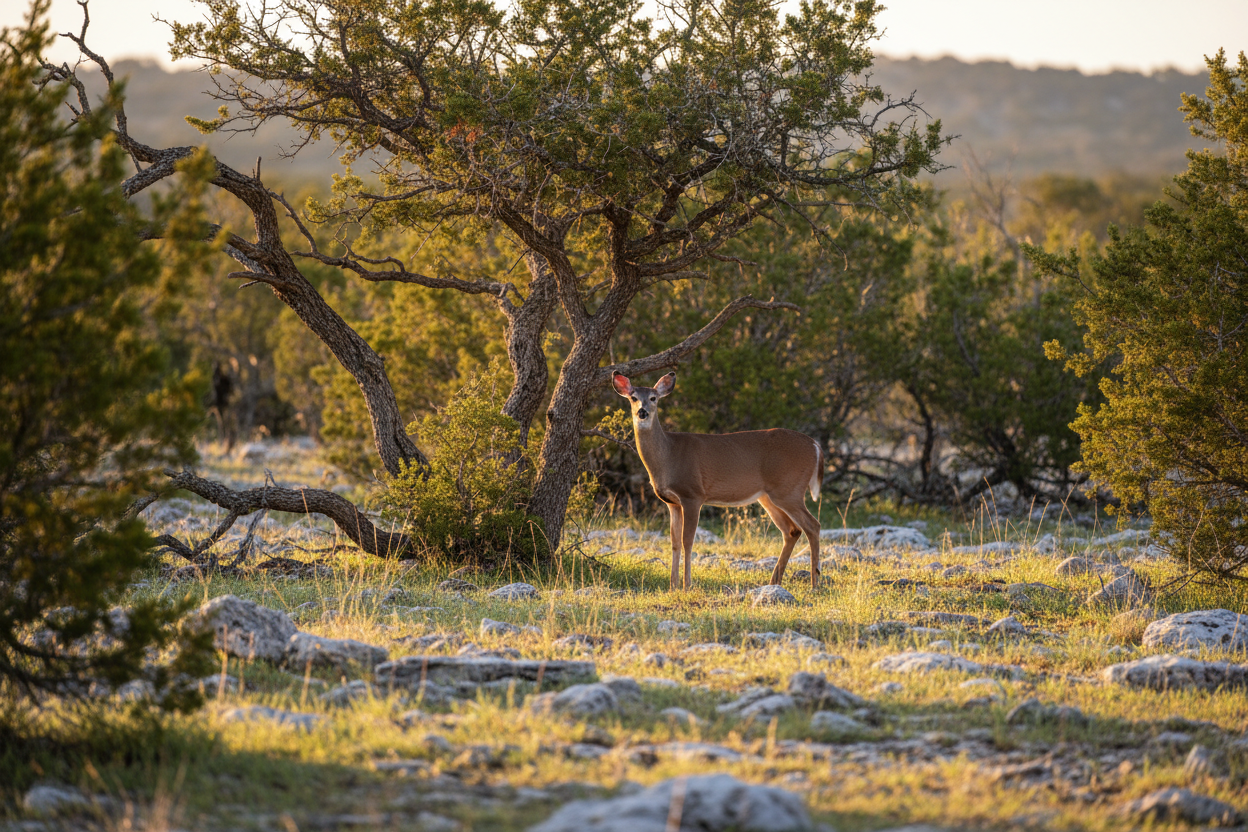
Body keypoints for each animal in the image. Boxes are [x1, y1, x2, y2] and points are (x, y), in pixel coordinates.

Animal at [612, 371, 823, 590]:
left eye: (653, 398)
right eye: (633, 397)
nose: (642, 412)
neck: (668, 455)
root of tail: (815, 445)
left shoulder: (693, 494)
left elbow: (688, 540)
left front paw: (687, 584)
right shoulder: (672, 502)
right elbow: (674, 542)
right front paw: (673, 585)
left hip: (789, 489)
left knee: (813, 525)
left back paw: (815, 582)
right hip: (769, 496)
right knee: (792, 530)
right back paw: (775, 581)